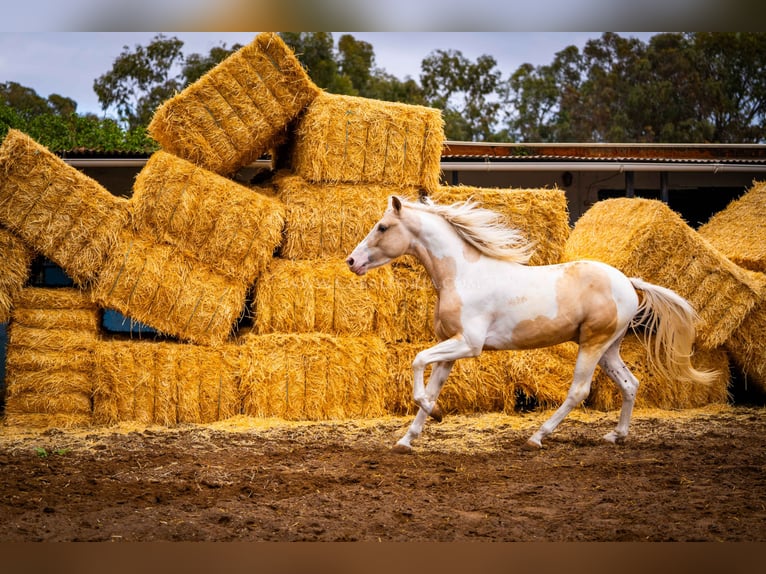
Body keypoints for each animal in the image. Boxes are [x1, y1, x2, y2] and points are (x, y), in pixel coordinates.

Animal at [344, 197, 716, 454]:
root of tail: (627, 281)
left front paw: (433, 414)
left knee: (579, 391)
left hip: (592, 344)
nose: (352, 261)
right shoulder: (451, 348)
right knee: (630, 384)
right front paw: (408, 438)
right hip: (609, 348)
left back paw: (537, 437)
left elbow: (417, 360)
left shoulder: (469, 344)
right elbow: (431, 384)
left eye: (382, 227)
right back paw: (616, 435)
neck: (463, 275)